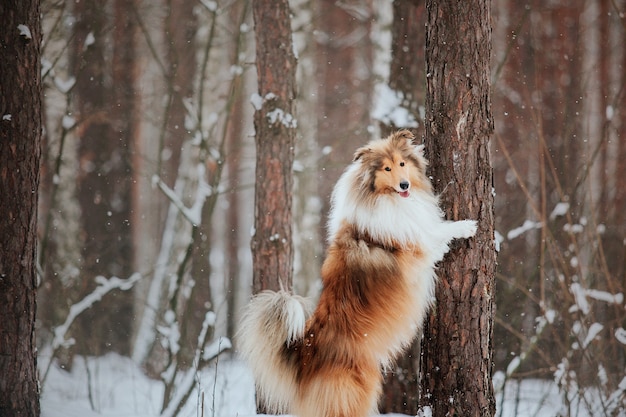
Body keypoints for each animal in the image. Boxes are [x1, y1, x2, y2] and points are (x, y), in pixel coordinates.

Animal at [236, 129, 476, 416]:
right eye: (386, 168)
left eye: (402, 163)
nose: (404, 185)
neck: (386, 200)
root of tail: (305, 353)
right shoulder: (416, 250)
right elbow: (435, 234)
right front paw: (466, 226)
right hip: (354, 392)